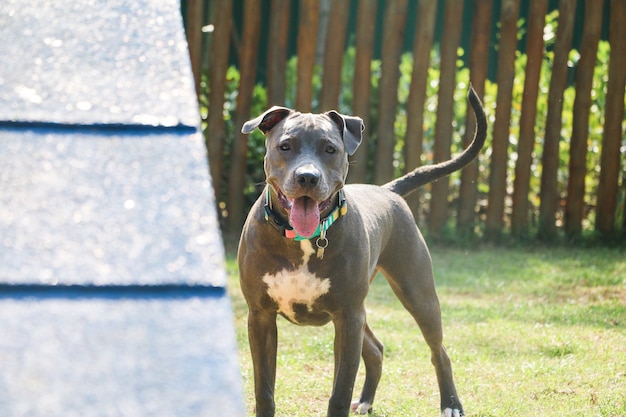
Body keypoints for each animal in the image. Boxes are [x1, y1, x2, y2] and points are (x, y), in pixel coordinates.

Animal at [236, 88, 486, 416]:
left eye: (330, 149)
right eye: (285, 146)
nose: (307, 177)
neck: (303, 240)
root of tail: (389, 190)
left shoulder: (347, 317)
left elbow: (340, 391)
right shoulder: (261, 316)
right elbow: (264, 390)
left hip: (416, 294)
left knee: (438, 350)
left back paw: (451, 404)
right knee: (376, 349)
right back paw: (367, 399)